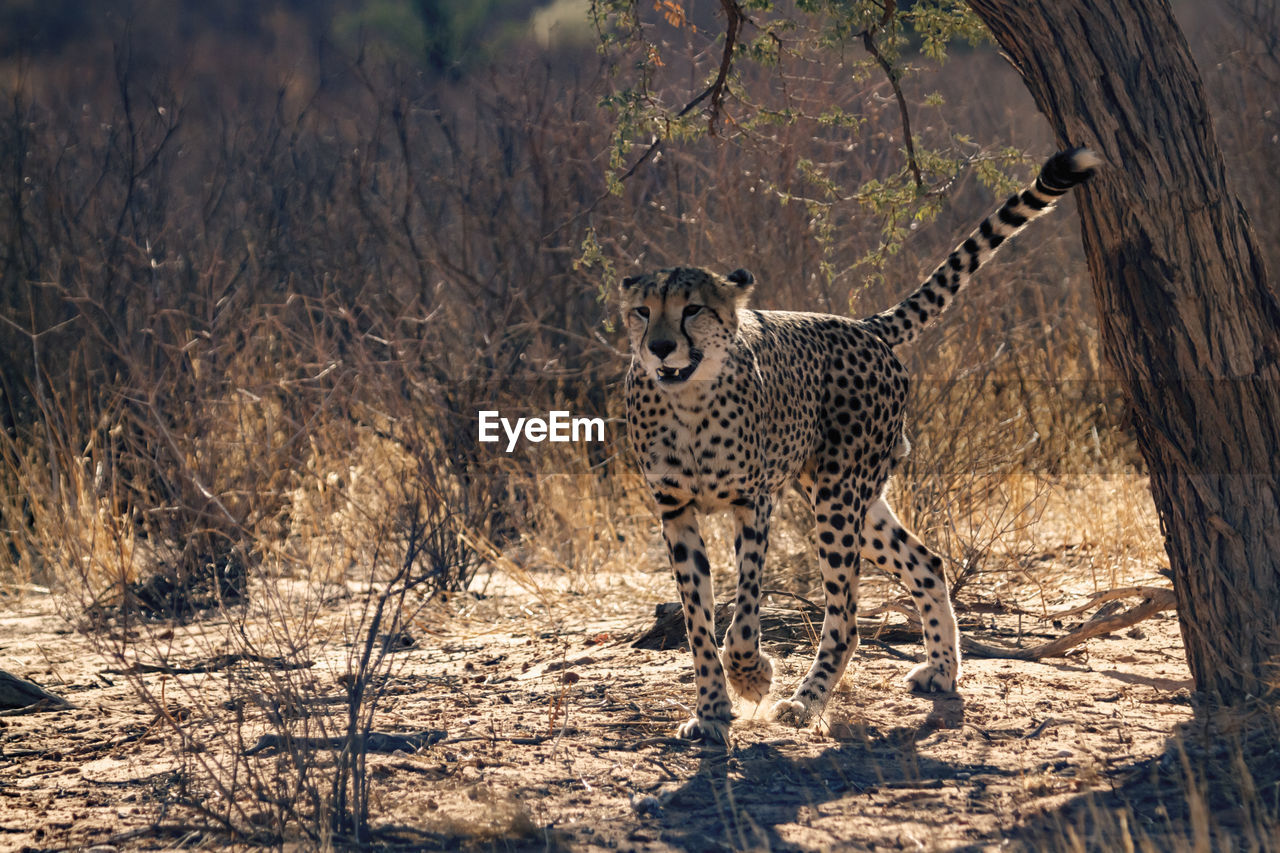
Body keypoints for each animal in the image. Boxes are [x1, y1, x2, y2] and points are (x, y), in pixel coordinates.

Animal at [619, 146, 1100, 737]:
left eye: (693, 309)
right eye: (643, 311)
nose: (660, 347)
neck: (689, 401)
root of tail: (864, 325)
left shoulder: (755, 501)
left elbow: (746, 607)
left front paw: (751, 676)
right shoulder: (676, 510)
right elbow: (696, 622)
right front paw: (710, 712)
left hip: (837, 498)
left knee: (846, 617)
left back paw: (807, 701)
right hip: (847, 499)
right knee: (927, 562)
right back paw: (942, 671)